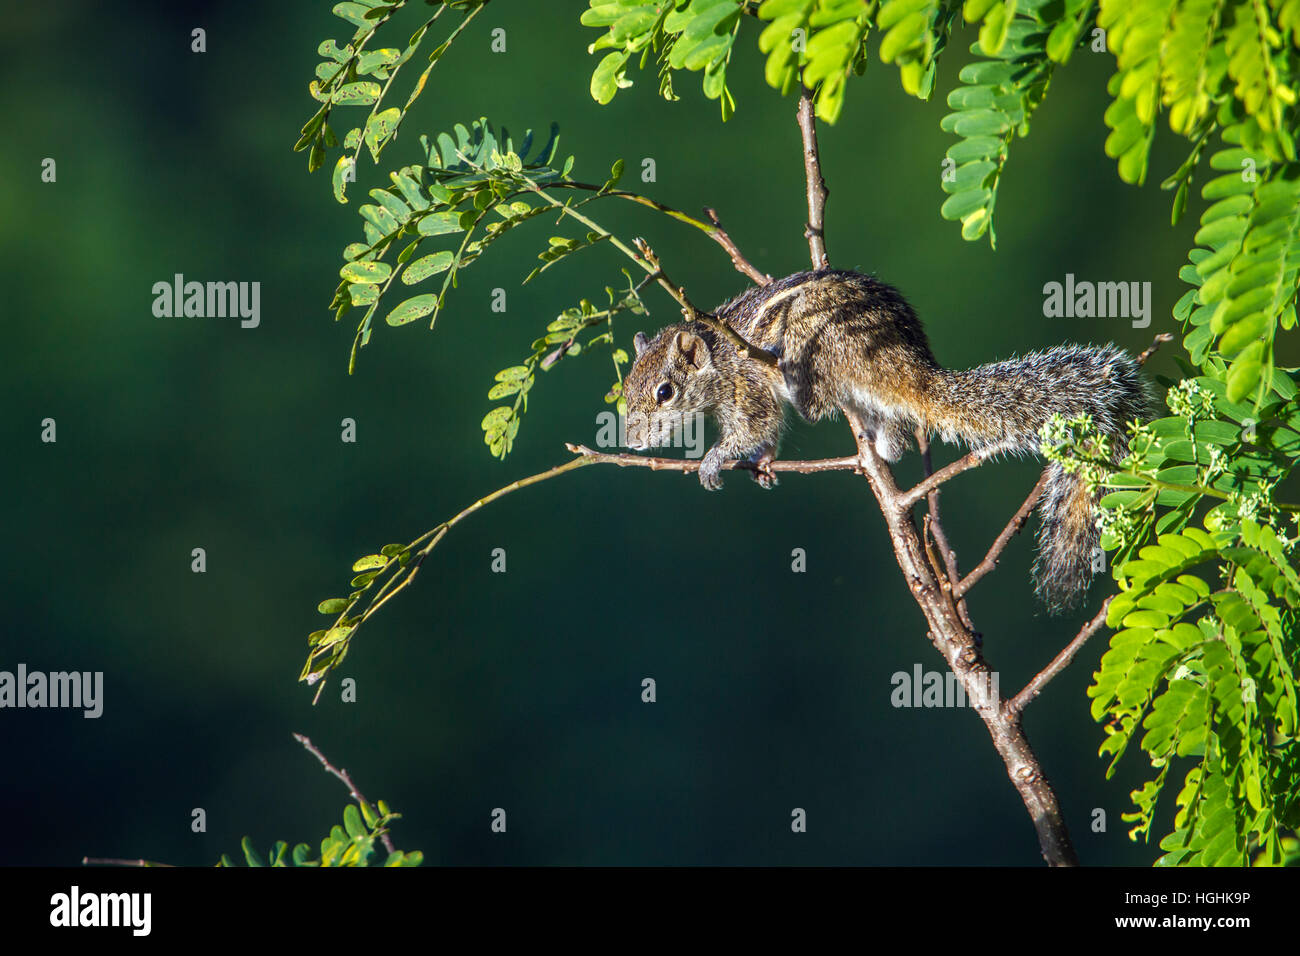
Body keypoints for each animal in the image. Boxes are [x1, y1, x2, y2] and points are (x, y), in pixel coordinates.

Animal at [622, 268, 1153, 610]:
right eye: (626, 387)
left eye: (665, 393)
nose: (631, 442)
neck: (717, 355)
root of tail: (911, 367)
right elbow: (767, 433)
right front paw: (765, 465)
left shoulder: (745, 388)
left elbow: (754, 425)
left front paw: (714, 461)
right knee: (895, 436)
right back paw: (879, 446)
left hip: (817, 342)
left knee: (819, 402)